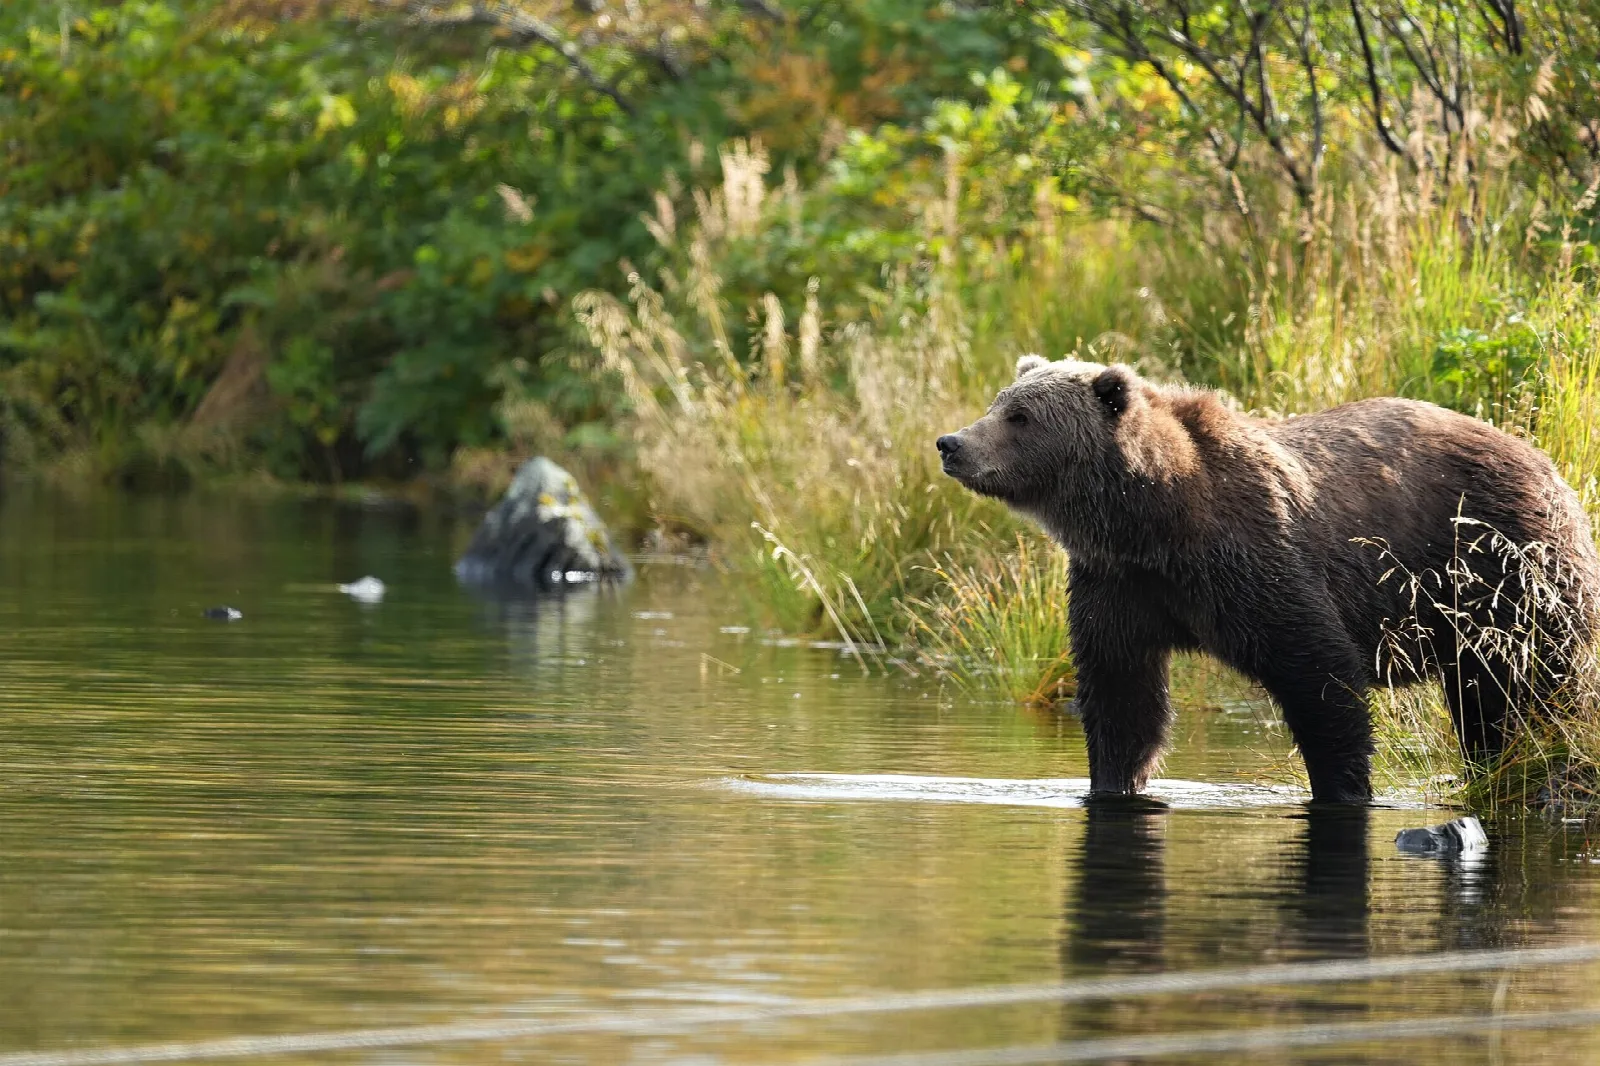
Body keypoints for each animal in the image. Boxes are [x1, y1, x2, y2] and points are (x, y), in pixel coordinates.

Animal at [936, 355, 1600, 803]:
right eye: (999, 402)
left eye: (1020, 416)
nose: (952, 443)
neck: (1154, 518)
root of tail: (1548, 463)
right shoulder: (1118, 584)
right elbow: (1122, 693)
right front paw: (1113, 781)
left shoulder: (1254, 559)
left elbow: (1318, 671)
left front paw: (1343, 784)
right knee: (1484, 701)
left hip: (1504, 565)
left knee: (1538, 679)